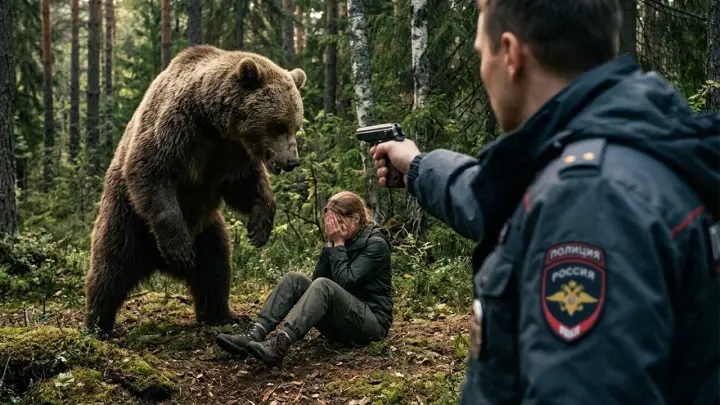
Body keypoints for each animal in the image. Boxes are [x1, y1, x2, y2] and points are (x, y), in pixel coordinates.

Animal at [84, 44, 307, 338]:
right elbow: (151, 172)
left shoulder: (231, 153)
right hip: (128, 219)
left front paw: (259, 229)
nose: (291, 161)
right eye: (279, 125)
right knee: (111, 267)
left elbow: (245, 186)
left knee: (215, 266)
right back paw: (98, 324)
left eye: (296, 125)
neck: (211, 121)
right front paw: (179, 247)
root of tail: (157, 262)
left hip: (207, 231)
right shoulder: (175, 129)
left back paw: (222, 314)